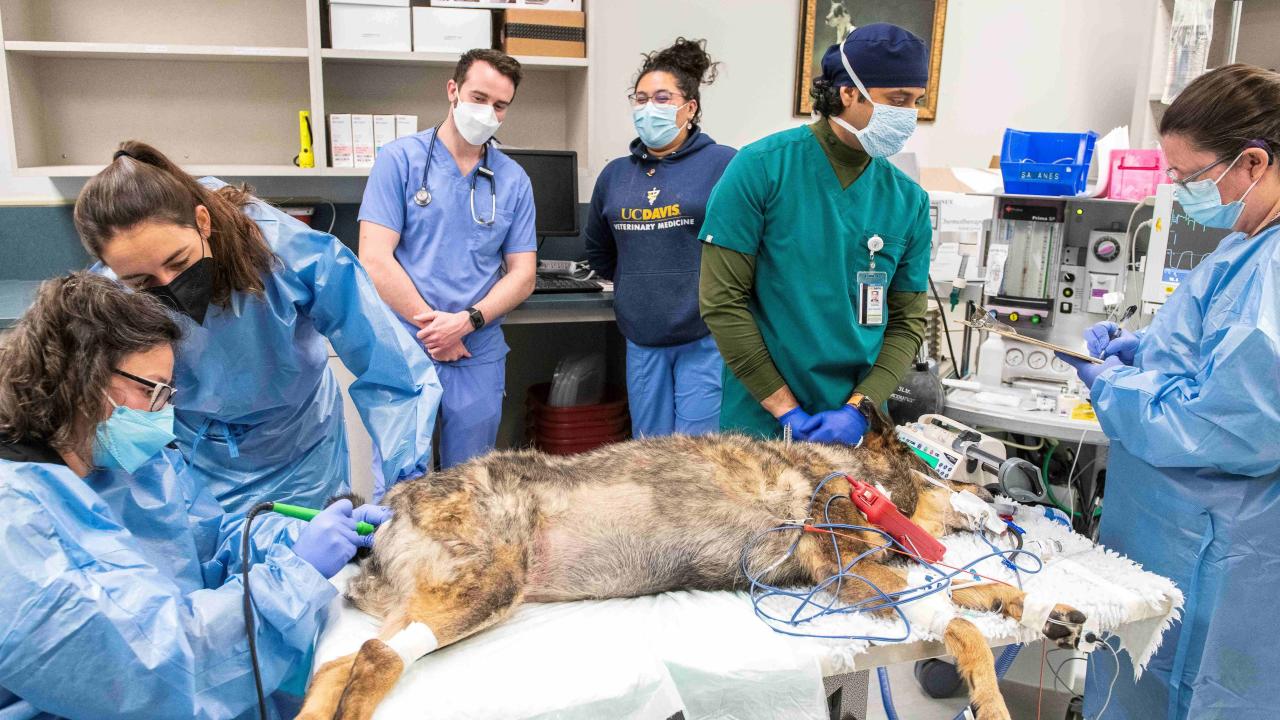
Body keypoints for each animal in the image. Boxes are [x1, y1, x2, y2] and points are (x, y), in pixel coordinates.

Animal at [299, 409, 1080, 717]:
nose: (996, 496)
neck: (860, 479)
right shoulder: (847, 569)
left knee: (341, 661)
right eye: (933, 465)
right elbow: (959, 619)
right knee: (374, 658)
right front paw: (990, 696)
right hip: (490, 583)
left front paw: (1055, 611)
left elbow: (977, 585)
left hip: (435, 597)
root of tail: (391, 502)